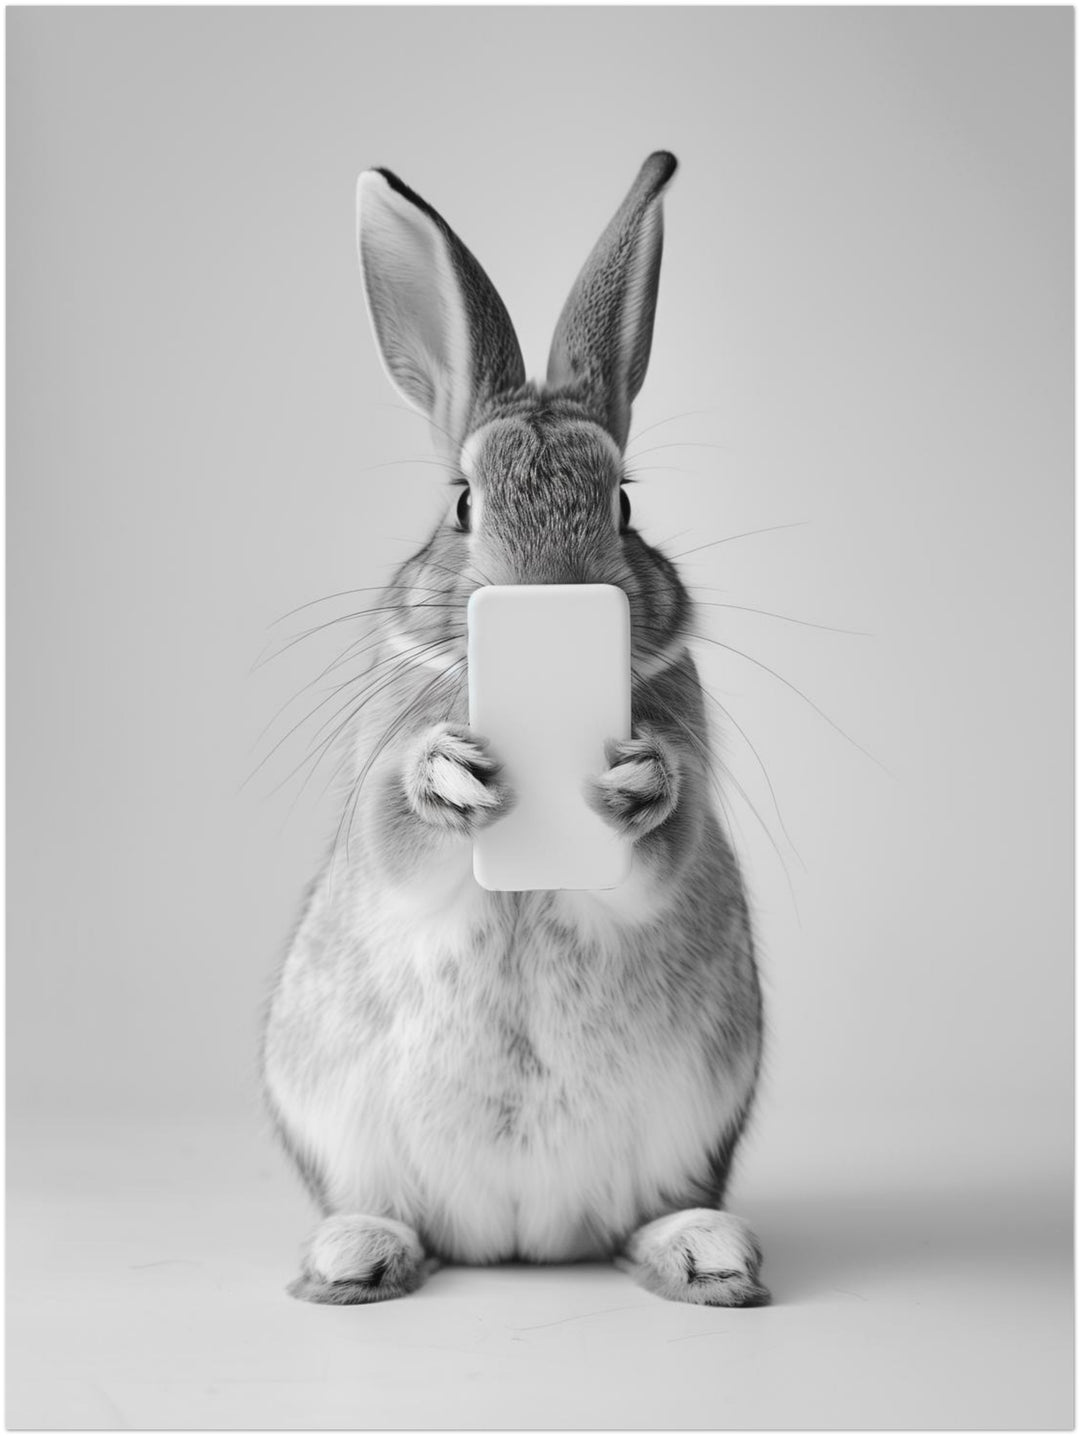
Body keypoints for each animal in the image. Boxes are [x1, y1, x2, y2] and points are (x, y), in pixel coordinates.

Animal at [260, 151, 768, 1307]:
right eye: (461, 503)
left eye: (622, 501)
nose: (550, 589)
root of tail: (520, 1243)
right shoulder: (380, 787)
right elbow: (396, 834)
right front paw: (448, 775)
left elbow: (663, 848)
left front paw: (638, 782)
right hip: (337, 1123)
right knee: (392, 1212)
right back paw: (356, 1256)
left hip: (695, 1124)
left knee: (643, 1219)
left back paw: (703, 1252)